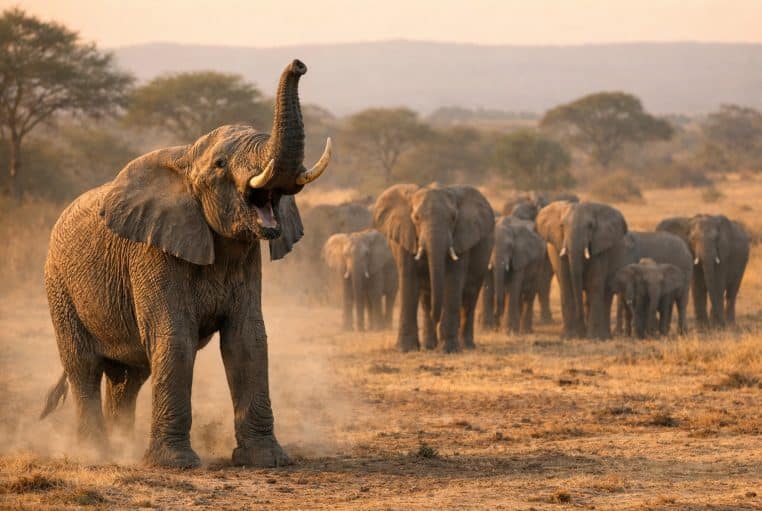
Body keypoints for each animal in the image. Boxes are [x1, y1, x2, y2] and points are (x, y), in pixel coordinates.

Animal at [38, 60, 331, 468]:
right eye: (221, 164)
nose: (299, 65)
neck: (187, 158)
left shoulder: (246, 257)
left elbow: (248, 338)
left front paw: (266, 459)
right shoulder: (152, 252)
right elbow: (174, 338)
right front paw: (174, 464)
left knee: (129, 377)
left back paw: (123, 448)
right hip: (59, 286)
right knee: (83, 367)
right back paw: (96, 453)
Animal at [374, 183, 494, 353]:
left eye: (453, 218)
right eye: (416, 218)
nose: (436, 316)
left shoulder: (461, 237)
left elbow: (452, 281)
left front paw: (448, 350)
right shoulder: (405, 236)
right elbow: (409, 280)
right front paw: (405, 349)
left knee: (469, 296)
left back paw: (466, 346)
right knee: (426, 298)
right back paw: (429, 346)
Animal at [536, 201, 628, 339]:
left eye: (590, 226)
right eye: (562, 226)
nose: (581, 332)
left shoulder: (600, 247)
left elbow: (595, 283)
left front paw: (593, 338)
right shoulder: (559, 246)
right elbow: (566, 283)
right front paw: (569, 336)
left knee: (605, 293)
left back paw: (604, 336)